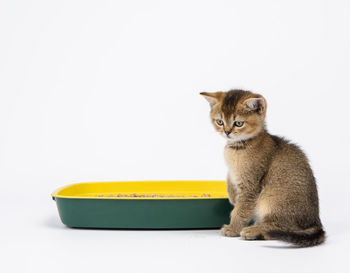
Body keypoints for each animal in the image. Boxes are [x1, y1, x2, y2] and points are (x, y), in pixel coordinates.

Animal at [201, 89, 326, 246]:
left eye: (238, 123)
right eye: (220, 122)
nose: (227, 132)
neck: (238, 147)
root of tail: (317, 222)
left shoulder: (251, 186)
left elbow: (240, 210)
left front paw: (233, 228)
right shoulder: (234, 174)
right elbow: (230, 179)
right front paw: (231, 194)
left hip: (270, 199)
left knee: (280, 228)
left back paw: (254, 231)